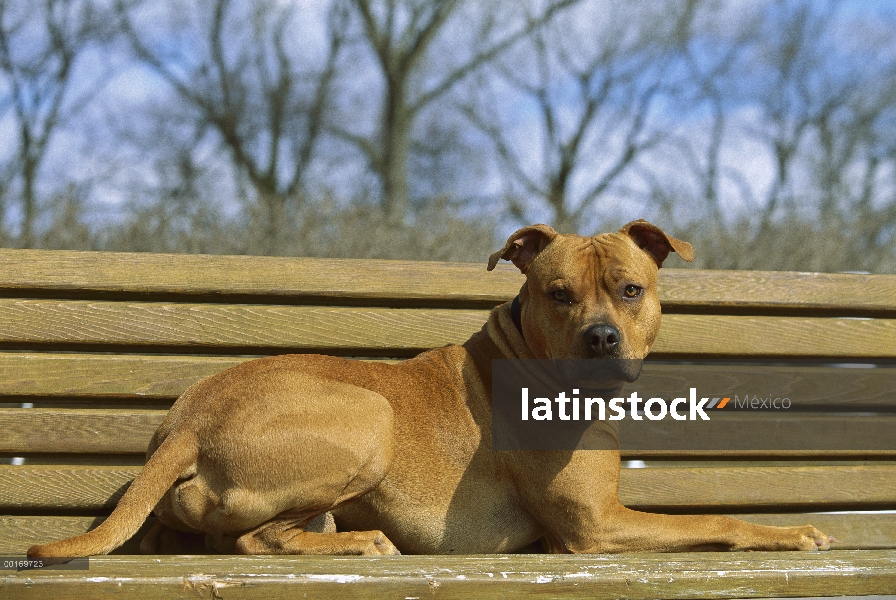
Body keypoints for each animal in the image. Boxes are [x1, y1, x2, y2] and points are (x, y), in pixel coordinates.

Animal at [29, 220, 832, 556]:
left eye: (630, 290)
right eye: (559, 295)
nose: (602, 339)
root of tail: (188, 419)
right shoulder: (595, 527)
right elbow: (721, 519)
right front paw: (793, 532)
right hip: (369, 414)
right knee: (260, 540)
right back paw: (359, 545)